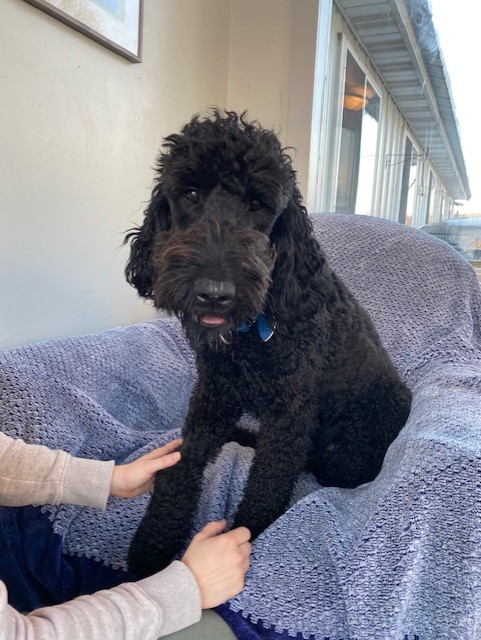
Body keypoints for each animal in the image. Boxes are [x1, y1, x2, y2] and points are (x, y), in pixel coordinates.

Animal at [124, 111, 408, 580]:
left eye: (259, 204)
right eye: (190, 193)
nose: (214, 293)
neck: (249, 339)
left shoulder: (289, 415)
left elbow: (265, 490)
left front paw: (243, 541)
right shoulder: (212, 395)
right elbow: (183, 466)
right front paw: (152, 545)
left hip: (352, 448)